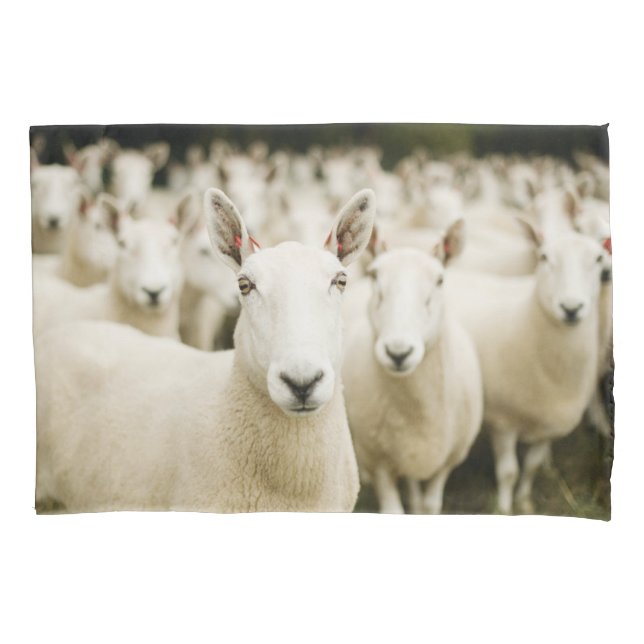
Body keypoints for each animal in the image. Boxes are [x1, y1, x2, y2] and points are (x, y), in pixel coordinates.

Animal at [342, 243, 483, 514]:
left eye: (440, 280)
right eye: (375, 276)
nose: (398, 353)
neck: (419, 410)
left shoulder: (449, 458)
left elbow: (430, 506)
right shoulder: (378, 460)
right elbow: (393, 510)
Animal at [445, 227, 606, 514]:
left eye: (598, 258)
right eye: (544, 257)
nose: (571, 309)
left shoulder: (549, 422)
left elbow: (531, 466)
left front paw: (524, 502)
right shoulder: (503, 422)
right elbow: (509, 472)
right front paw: (505, 508)